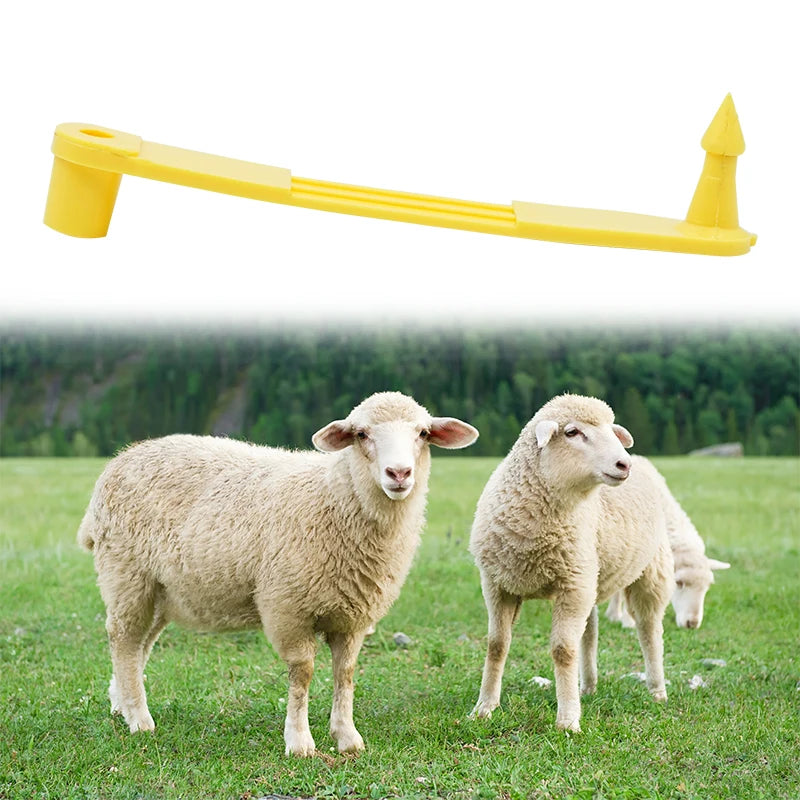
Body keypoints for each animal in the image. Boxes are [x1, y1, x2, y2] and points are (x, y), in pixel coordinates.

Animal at [77, 392, 478, 756]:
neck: (335, 498)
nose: (399, 474)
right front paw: (299, 742)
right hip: (126, 574)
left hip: (161, 590)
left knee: (139, 645)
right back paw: (139, 719)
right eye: (362, 434)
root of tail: (120, 459)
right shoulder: (288, 608)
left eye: (423, 433)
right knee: (124, 639)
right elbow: (302, 674)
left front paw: (347, 737)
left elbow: (345, 673)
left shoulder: (353, 616)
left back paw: (122, 703)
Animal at [469, 394, 673, 733]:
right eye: (572, 432)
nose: (624, 464)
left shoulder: (571, 586)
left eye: (612, 431)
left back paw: (657, 690)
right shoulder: (498, 585)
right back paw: (587, 687)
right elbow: (496, 645)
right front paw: (484, 708)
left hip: (649, 571)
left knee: (649, 630)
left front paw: (567, 720)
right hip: (590, 576)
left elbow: (563, 651)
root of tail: (645, 463)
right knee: (589, 634)